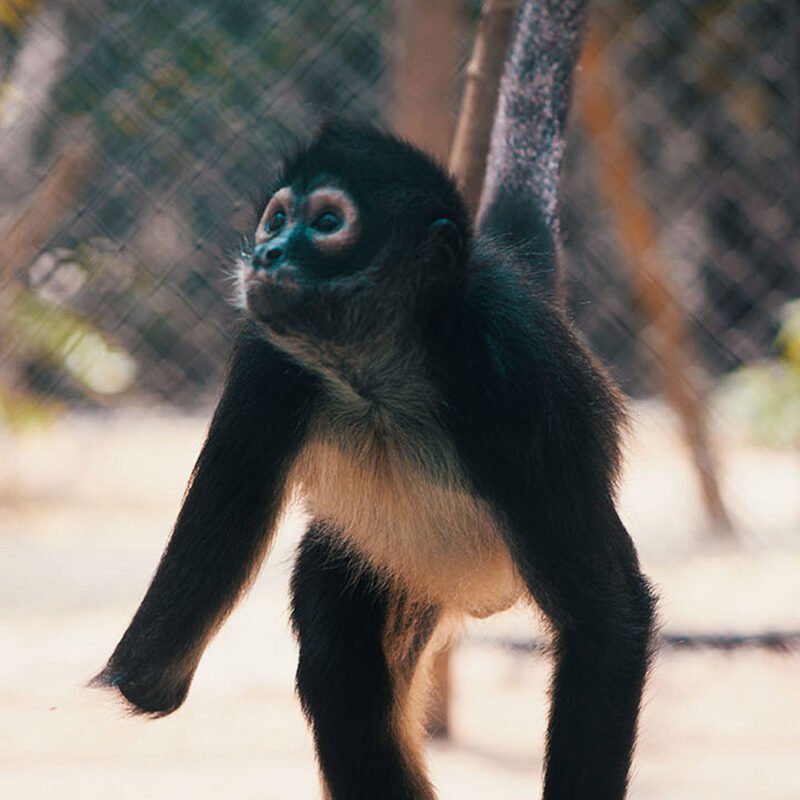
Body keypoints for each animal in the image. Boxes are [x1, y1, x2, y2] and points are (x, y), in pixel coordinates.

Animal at [92, 1, 656, 798]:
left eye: (327, 223)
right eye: (276, 219)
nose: (267, 256)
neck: (376, 381)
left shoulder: (508, 378)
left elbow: (609, 625)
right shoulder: (268, 360)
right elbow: (150, 675)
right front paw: (136, 684)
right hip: (380, 561)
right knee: (342, 664)